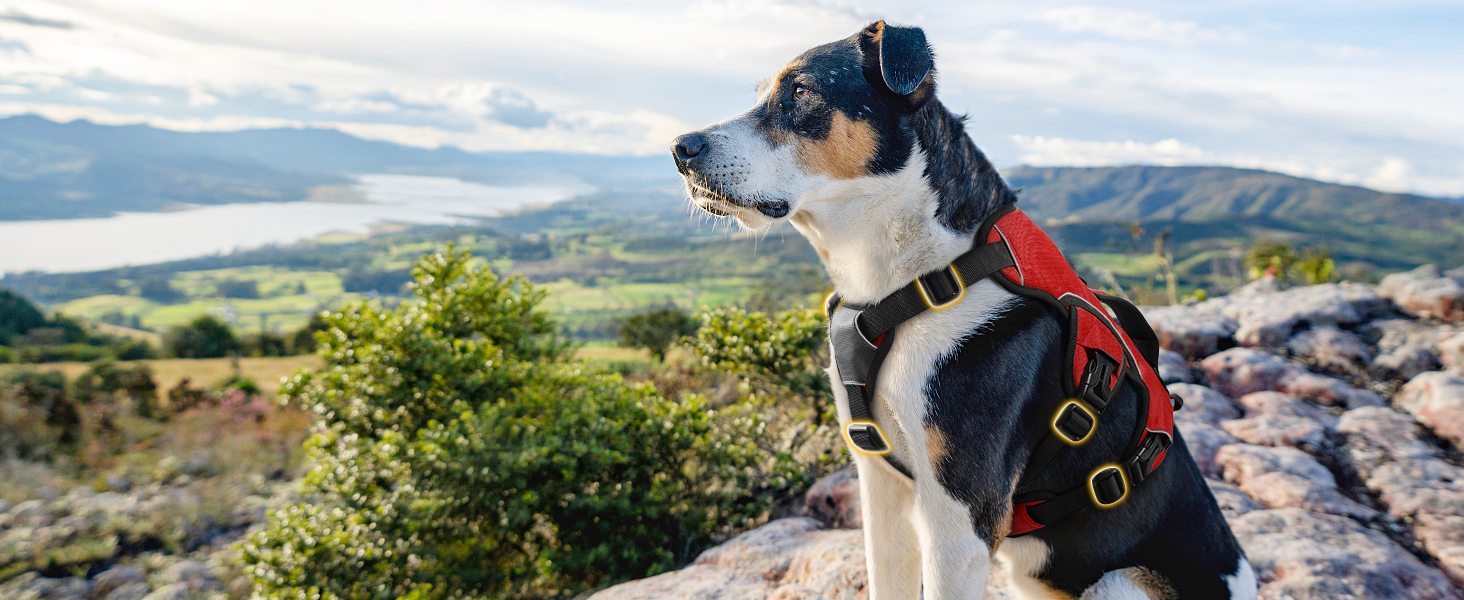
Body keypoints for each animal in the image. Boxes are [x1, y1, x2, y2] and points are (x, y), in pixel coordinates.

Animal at [670, 19, 1253, 600]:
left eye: (800, 90)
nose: (680, 147)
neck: (912, 281)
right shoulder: (879, 485)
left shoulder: (959, 520)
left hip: (1118, 582)